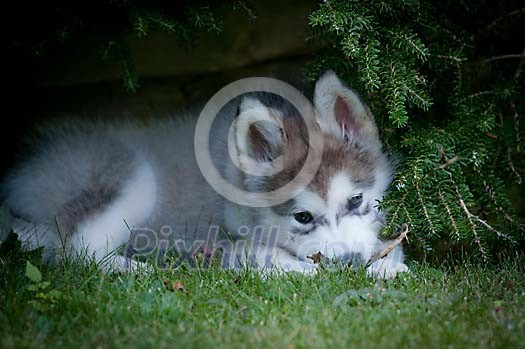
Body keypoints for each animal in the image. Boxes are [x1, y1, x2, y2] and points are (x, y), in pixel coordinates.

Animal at [2, 70, 408, 278]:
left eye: (355, 200)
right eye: (303, 217)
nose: (351, 263)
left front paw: (386, 262)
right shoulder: (226, 238)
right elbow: (259, 253)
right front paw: (299, 267)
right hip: (134, 175)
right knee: (73, 249)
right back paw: (136, 269)